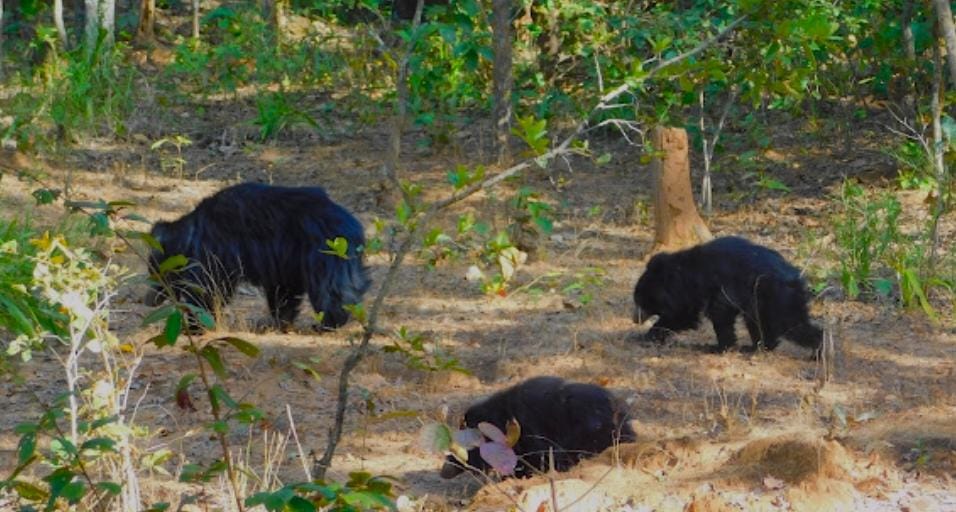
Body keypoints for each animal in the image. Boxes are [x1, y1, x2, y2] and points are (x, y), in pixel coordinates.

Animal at [148, 182, 372, 330]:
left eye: (157, 274)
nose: (147, 300)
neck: (188, 236)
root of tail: (353, 225)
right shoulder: (283, 263)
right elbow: (283, 291)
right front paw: (278, 322)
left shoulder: (214, 252)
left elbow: (208, 288)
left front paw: (196, 324)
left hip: (325, 253)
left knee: (330, 289)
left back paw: (329, 323)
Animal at [636, 235, 820, 352]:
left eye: (642, 303)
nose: (635, 319)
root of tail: (797, 276)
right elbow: (686, 315)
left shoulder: (721, 286)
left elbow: (719, 313)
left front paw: (720, 348)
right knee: (758, 321)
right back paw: (758, 347)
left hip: (777, 297)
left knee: (792, 325)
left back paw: (817, 350)